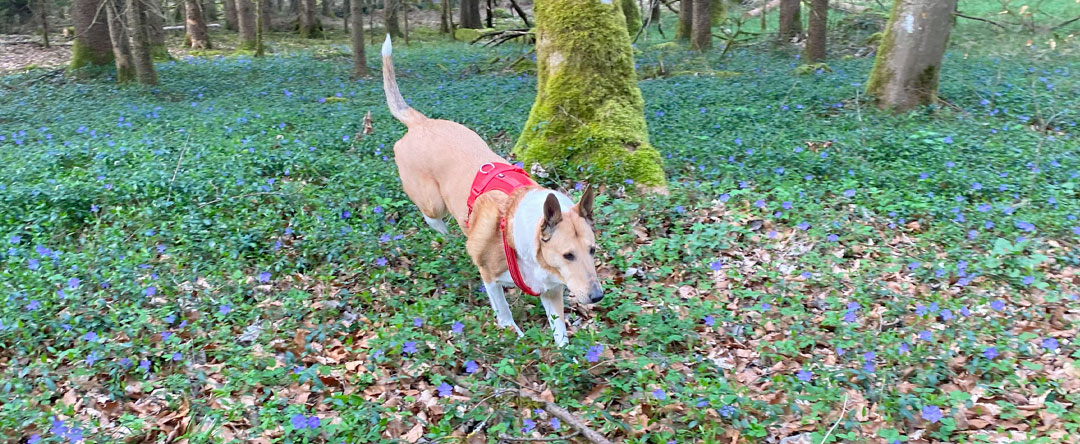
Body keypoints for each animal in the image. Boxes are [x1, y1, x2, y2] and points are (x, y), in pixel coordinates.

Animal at [382, 35, 604, 347]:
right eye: (567, 256)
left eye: (592, 250)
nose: (597, 296)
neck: (522, 236)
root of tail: (422, 123)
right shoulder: (489, 275)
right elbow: (504, 311)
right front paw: (513, 333)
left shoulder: (550, 290)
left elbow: (559, 330)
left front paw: (567, 355)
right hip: (432, 201)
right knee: (432, 215)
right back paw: (446, 234)